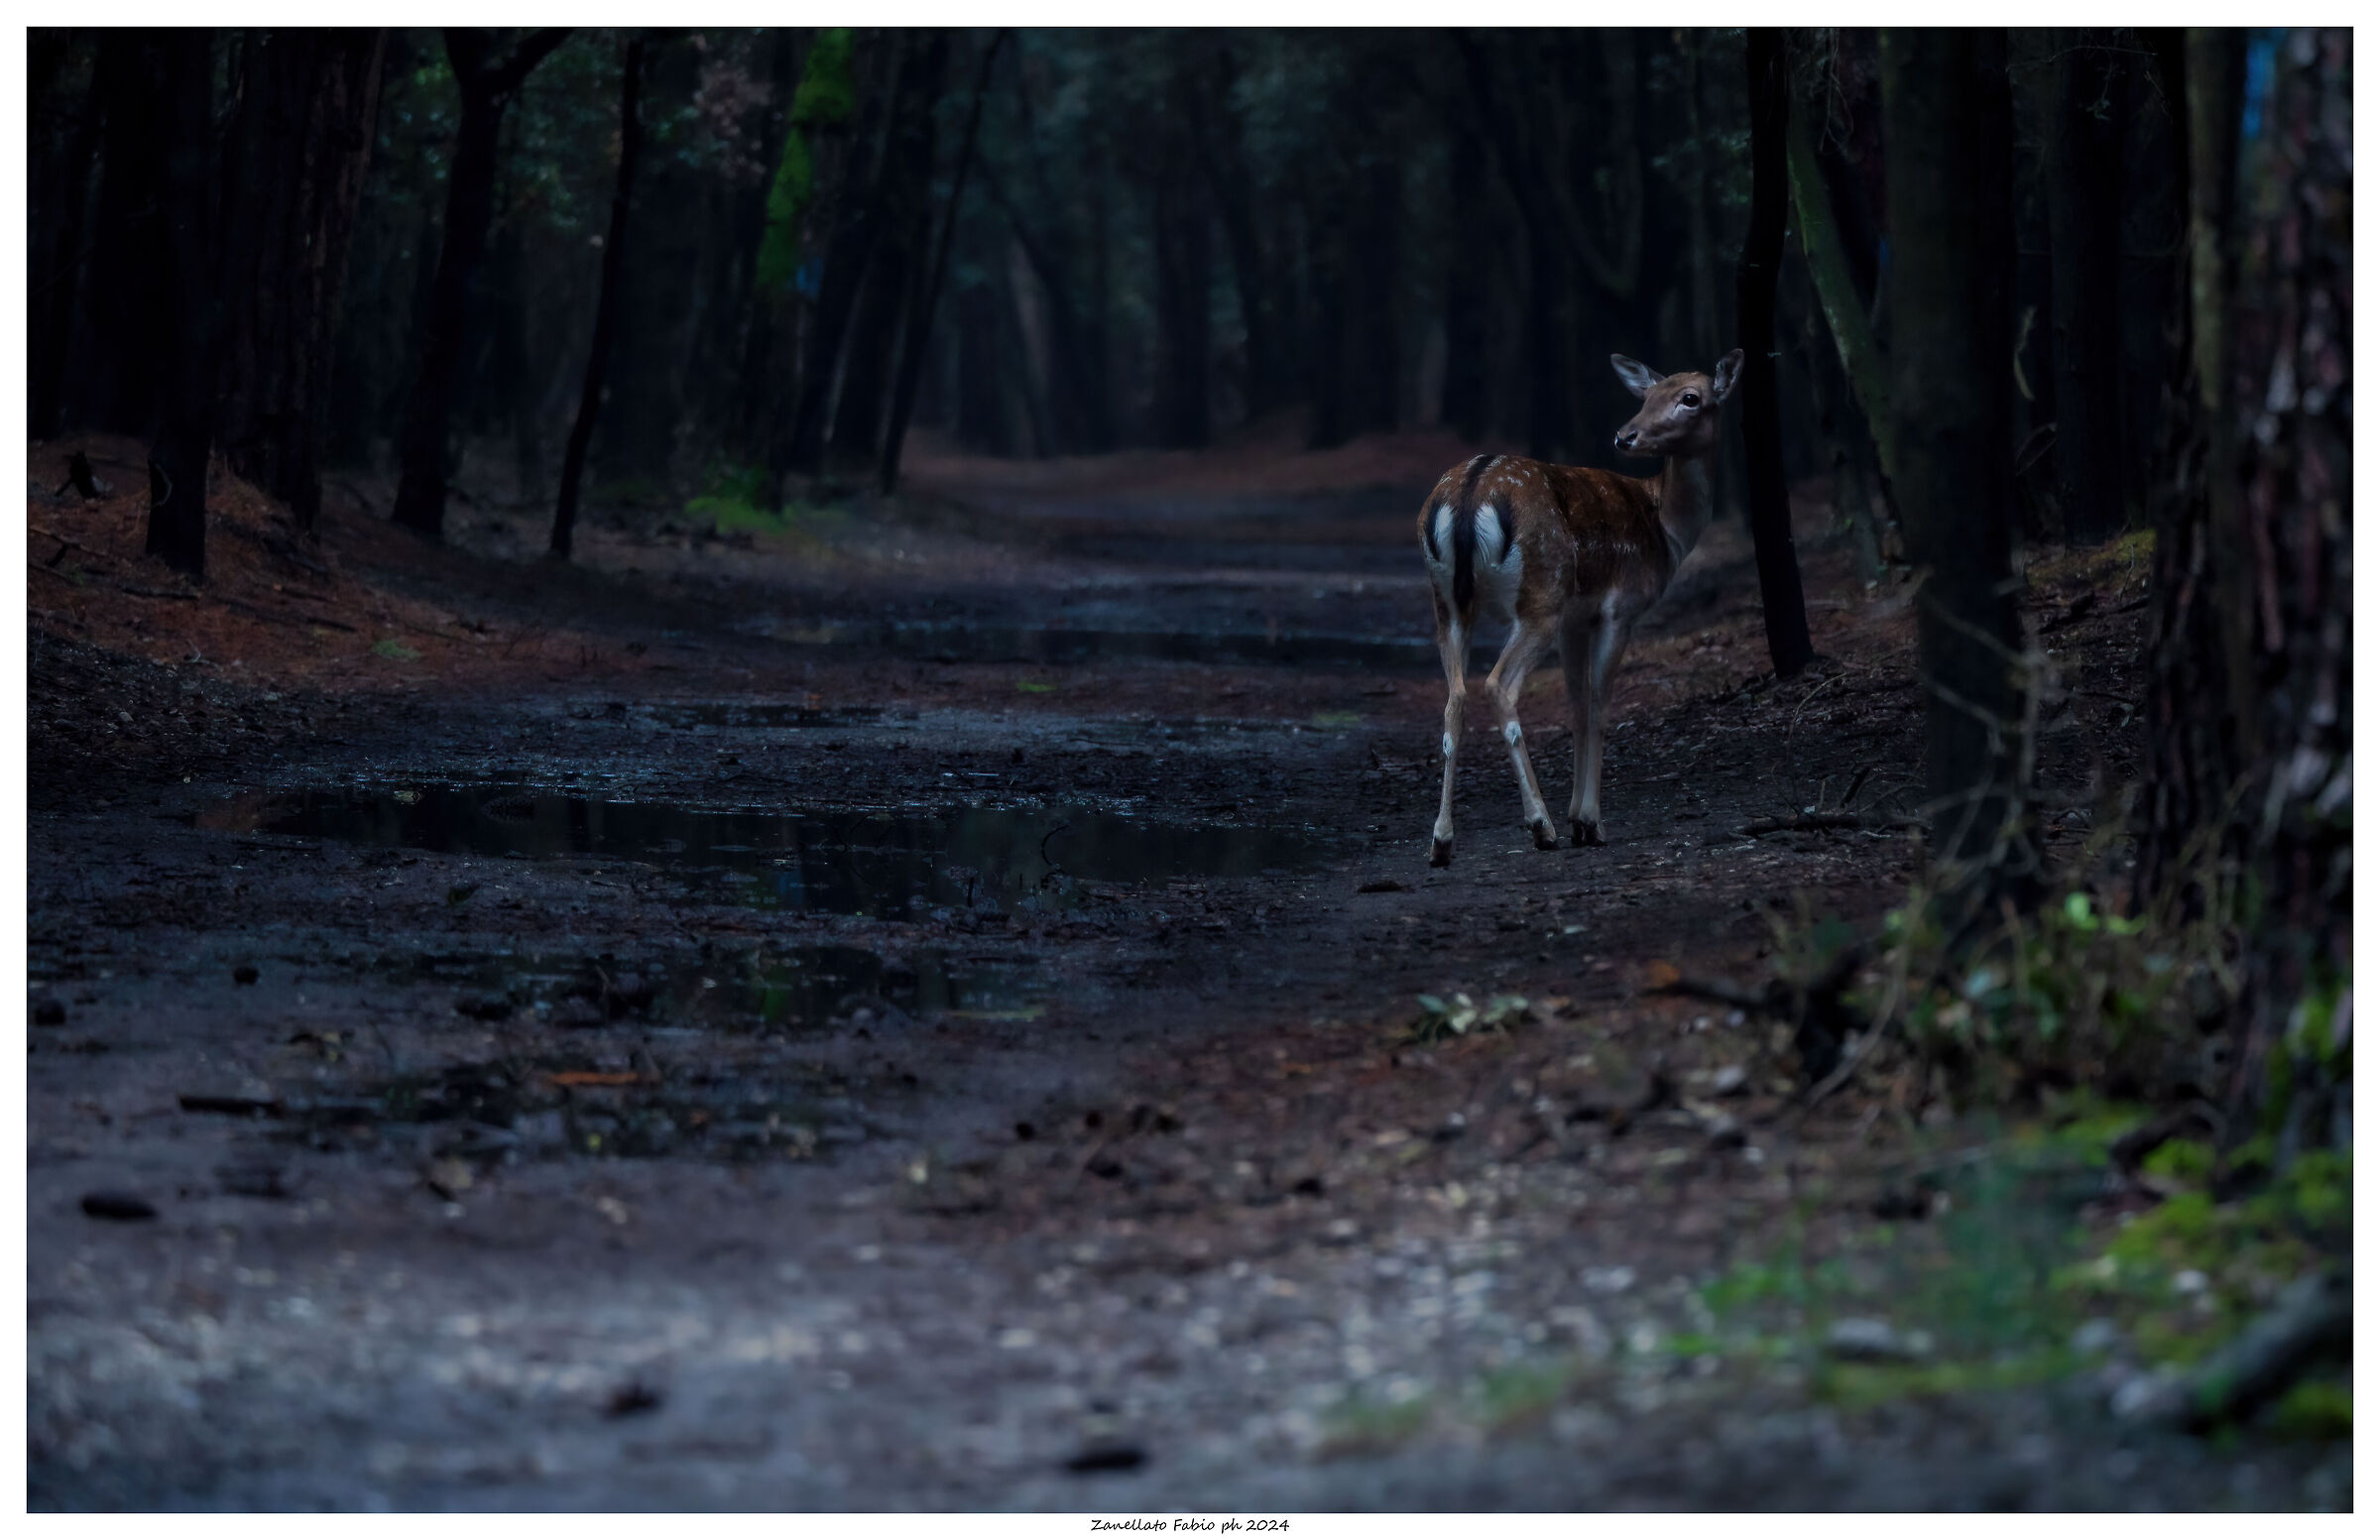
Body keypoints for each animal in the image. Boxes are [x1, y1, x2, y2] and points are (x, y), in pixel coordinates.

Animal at [1418, 349, 1743, 866]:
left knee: (1455, 697)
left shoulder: (1576, 621)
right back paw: (1540, 825)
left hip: (1447, 603)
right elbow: (1599, 702)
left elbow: (1575, 704)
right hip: (1541, 597)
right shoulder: (1620, 608)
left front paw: (1577, 817)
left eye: (1689, 398)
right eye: (1648, 394)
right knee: (1498, 685)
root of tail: (1471, 491)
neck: (1666, 531)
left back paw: (1442, 841)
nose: (1626, 435)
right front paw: (1590, 821)